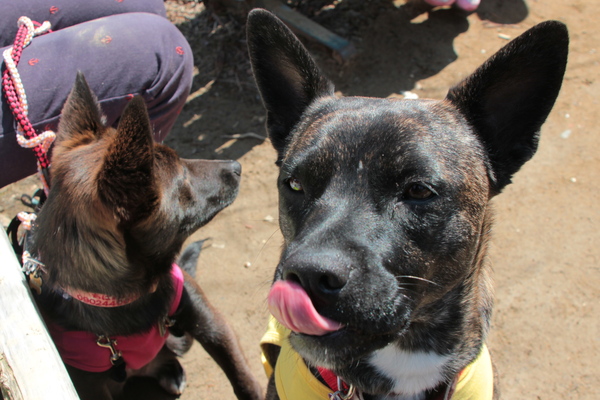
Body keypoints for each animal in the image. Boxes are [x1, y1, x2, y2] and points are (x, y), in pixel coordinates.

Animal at [28, 72, 262, 400]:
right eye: (182, 177)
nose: (236, 166)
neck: (133, 296)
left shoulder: (212, 323)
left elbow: (244, 380)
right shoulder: (89, 386)